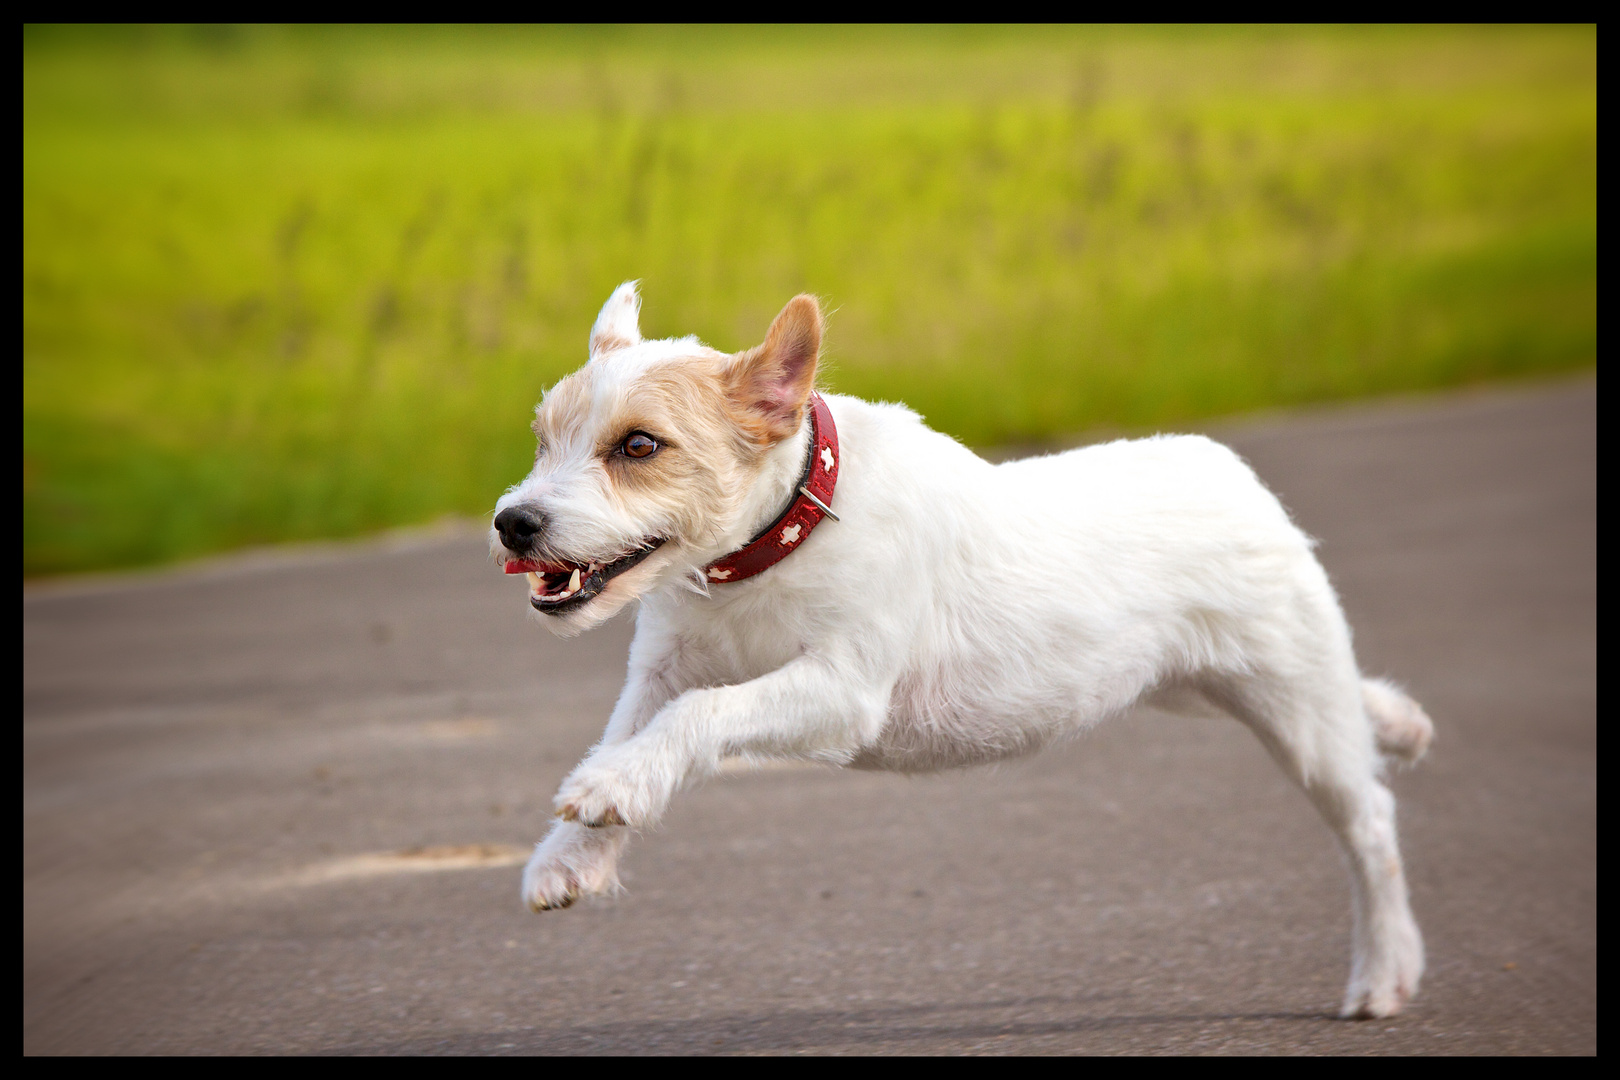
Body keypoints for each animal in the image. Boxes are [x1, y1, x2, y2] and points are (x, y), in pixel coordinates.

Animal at [482, 283, 1432, 1016]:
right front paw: (571, 851)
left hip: (1294, 710)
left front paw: (614, 790)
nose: (512, 522)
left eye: (640, 445)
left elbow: (696, 716)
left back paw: (1384, 973)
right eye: (542, 437)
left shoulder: (840, 692)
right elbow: (631, 726)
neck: (783, 536)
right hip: (1194, 685)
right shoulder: (663, 668)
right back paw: (1398, 719)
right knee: (1356, 711)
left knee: (1373, 827)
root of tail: (1232, 473)